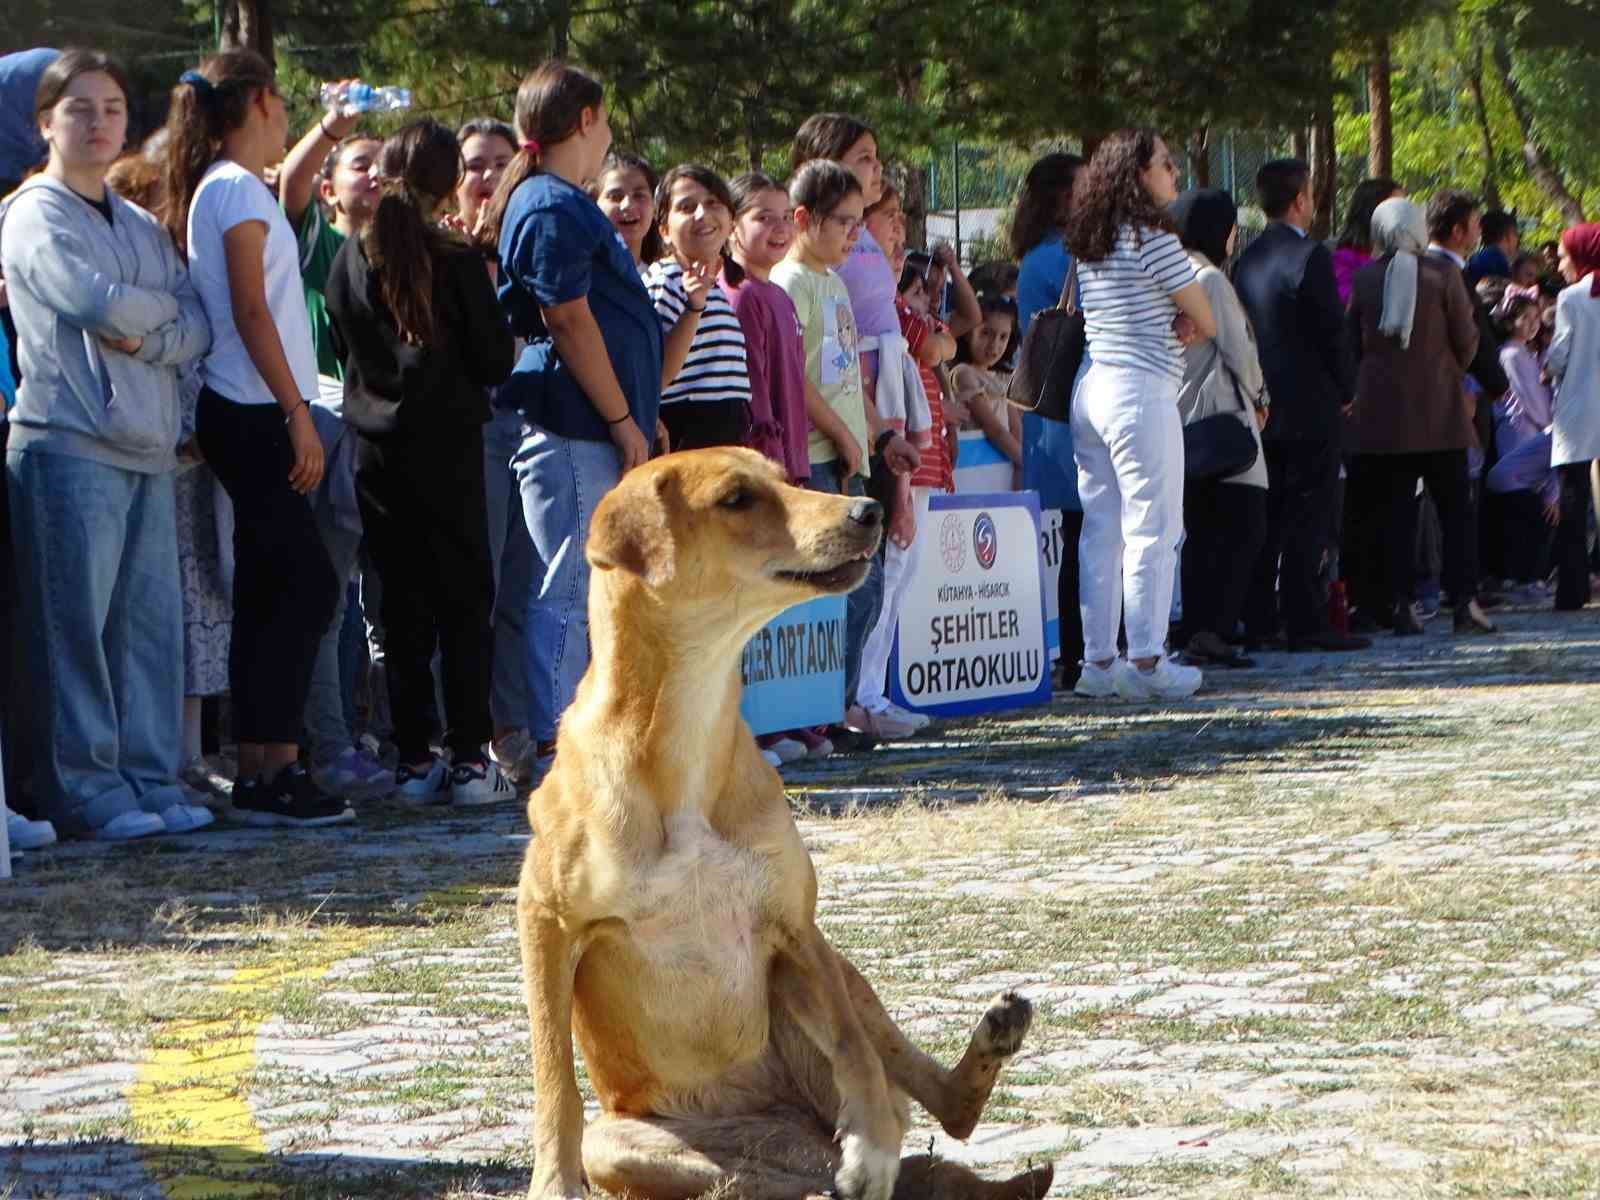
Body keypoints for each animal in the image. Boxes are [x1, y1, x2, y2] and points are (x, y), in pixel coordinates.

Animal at [518, 448, 1056, 1196]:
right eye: (736, 498)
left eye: (783, 476)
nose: (870, 509)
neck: (684, 729)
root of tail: (794, 1125)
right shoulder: (546, 922)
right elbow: (555, 1083)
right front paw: (552, 1182)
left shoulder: (794, 929)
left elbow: (855, 1051)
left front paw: (872, 1146)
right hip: (641, 1147)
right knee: (774, 1182)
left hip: (839, 980)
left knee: (929, 1101)